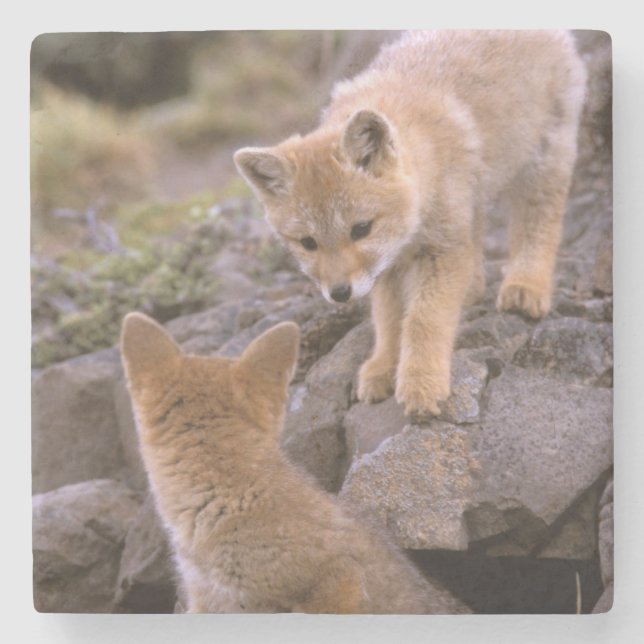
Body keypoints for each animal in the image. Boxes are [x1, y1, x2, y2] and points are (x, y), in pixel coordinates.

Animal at [233, 30, 587, 416]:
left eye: (361, 229)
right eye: (307, 243)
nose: (339, 293)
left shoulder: (442, 250)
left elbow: (422, 319)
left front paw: (422, 381)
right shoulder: (389, 266)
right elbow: (389, 321)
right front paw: (383, 367)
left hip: (542, 163)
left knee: (540, 223)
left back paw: (526, 285)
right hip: (474, 198)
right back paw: (474, 287)